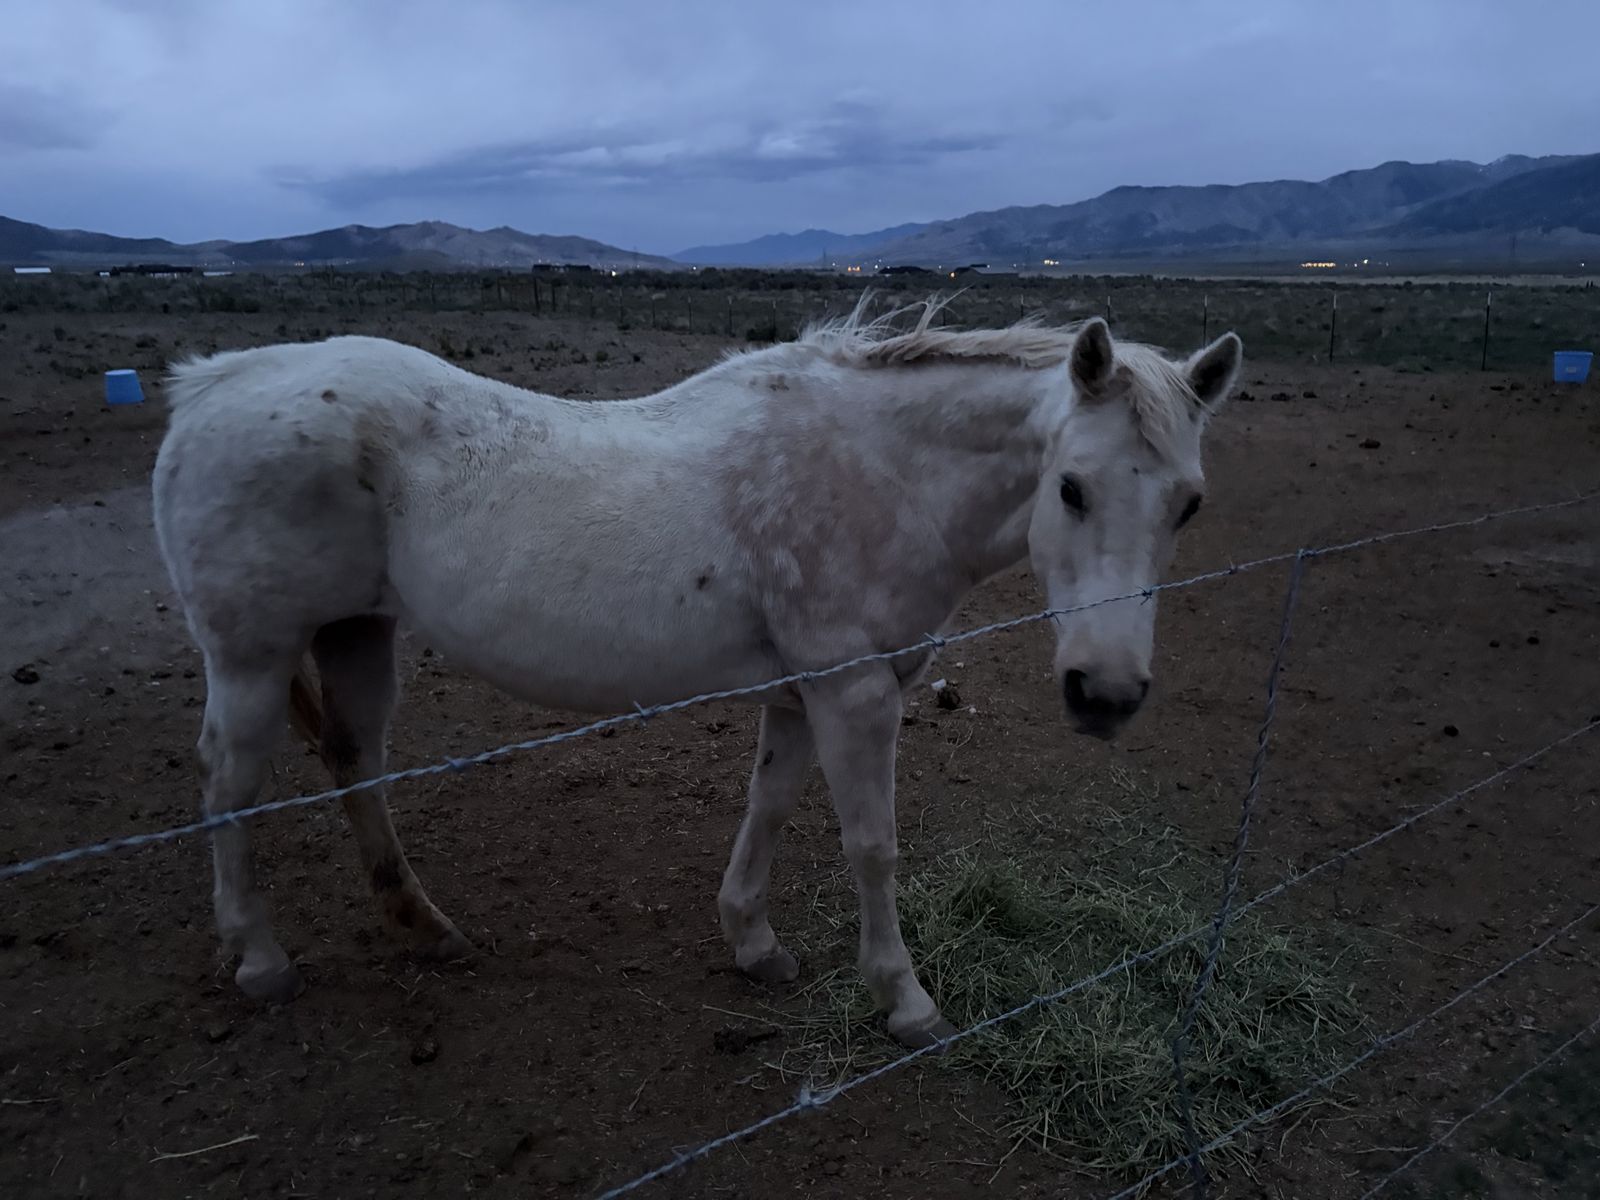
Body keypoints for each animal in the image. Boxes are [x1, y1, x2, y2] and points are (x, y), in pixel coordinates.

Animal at [151, 296, 1241, 1048]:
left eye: (1189, 504)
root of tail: (213, 384)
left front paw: (752, 942)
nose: (1105, 695)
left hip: (357, 632)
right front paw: (904, 998)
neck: (880, 470)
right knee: (228, 787)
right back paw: (259, 960)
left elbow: (770, 805)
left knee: (355, 763)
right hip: (251, 658)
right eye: (1071, 487)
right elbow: (871, 846)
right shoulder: (854, 692)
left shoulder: (806, 691)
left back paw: (425, 927)